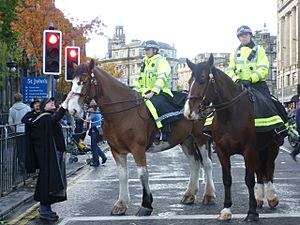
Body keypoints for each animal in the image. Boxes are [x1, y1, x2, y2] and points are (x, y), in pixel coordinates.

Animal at [67, 59, 216, 216]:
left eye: (84, 81)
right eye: (72, 81)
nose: (72, 110)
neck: (123, 112)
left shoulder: (138, 149)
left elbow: (142, 174)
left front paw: (146, 205)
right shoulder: (117, 150)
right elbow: (122, 175)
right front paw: (121, 204)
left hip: (200, 138)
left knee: (207, 163)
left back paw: (209, 195)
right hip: (186, 140)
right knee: (195, 162)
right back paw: (189, 195)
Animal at [184, 54, 280, 221]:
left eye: (202, 79)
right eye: (189, 82)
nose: (189, 112)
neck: (230, 115)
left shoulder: (249, 150)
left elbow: (249, 180)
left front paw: (251, 213)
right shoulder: (222, 151)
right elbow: (227, 179)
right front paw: (226, 209)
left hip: (271, 147)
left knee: (269, 169)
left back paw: (271, 197)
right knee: (261, 171)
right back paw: (260, 199)